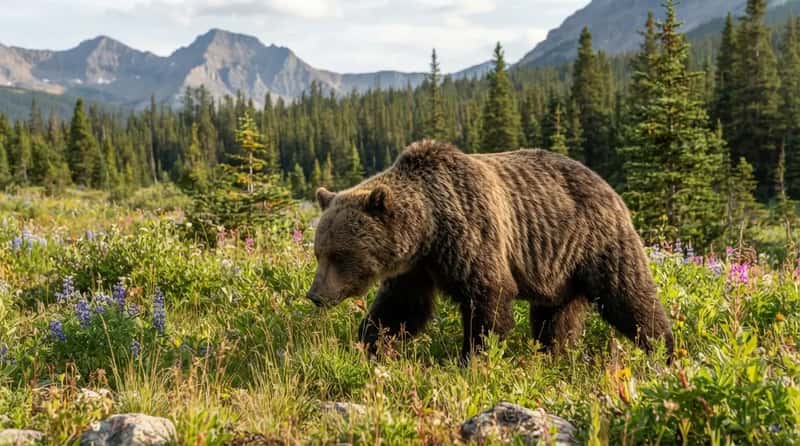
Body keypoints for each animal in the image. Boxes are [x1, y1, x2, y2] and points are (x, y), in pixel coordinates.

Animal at [306, 140, 674, 364]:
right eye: (318, 252)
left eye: (340, 254)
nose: (315, 295)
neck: (429, 229)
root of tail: (608, 185)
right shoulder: (416, 268)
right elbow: (400, 309)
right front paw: (369, 344)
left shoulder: (470, 234)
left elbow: (488, 296)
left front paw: (473, 358)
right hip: (560, 269)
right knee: (555, 318)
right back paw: (553, 355)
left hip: (596, 242)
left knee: (629, 297)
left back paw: (665, 351)